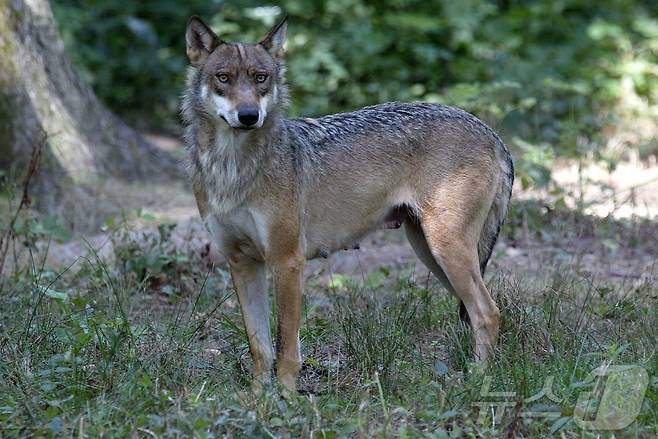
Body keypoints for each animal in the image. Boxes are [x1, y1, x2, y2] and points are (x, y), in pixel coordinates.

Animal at [181, 15, 512, 392]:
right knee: (476, 312)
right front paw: (257, 397)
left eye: (260, 78)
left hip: (447, 251)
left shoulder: (287, 262)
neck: (232, 168)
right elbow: (259, 346)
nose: (249, 115)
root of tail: (491, 132)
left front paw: (286, 398)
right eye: (224, 78)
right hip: (432, 255)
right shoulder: (242, 263)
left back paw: (478, 382)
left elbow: (285, 348)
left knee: (489, 313)